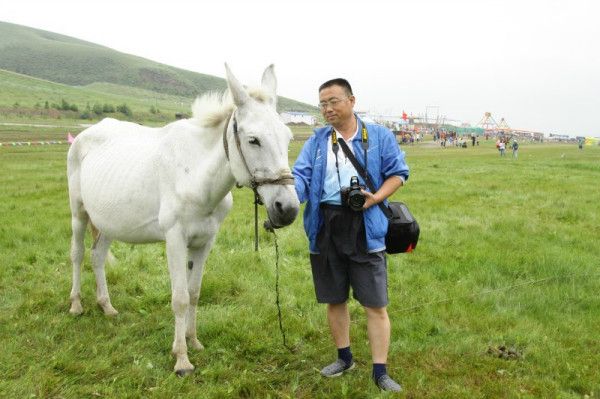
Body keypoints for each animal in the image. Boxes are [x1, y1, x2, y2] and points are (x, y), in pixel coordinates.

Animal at [67, 64, 300, 376]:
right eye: (254, 140)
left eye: (288, 138)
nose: (287, 209)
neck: (195, 176)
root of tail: (86, 134)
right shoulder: (175, 240)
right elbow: (179, 298)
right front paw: (181, 359)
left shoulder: (204, 242)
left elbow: (194, 292)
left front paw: (193, 341)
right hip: (79, 214)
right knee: (78, 254)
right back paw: (76, 304)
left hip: (107, 223)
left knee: (97, 257)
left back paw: (106, 306)